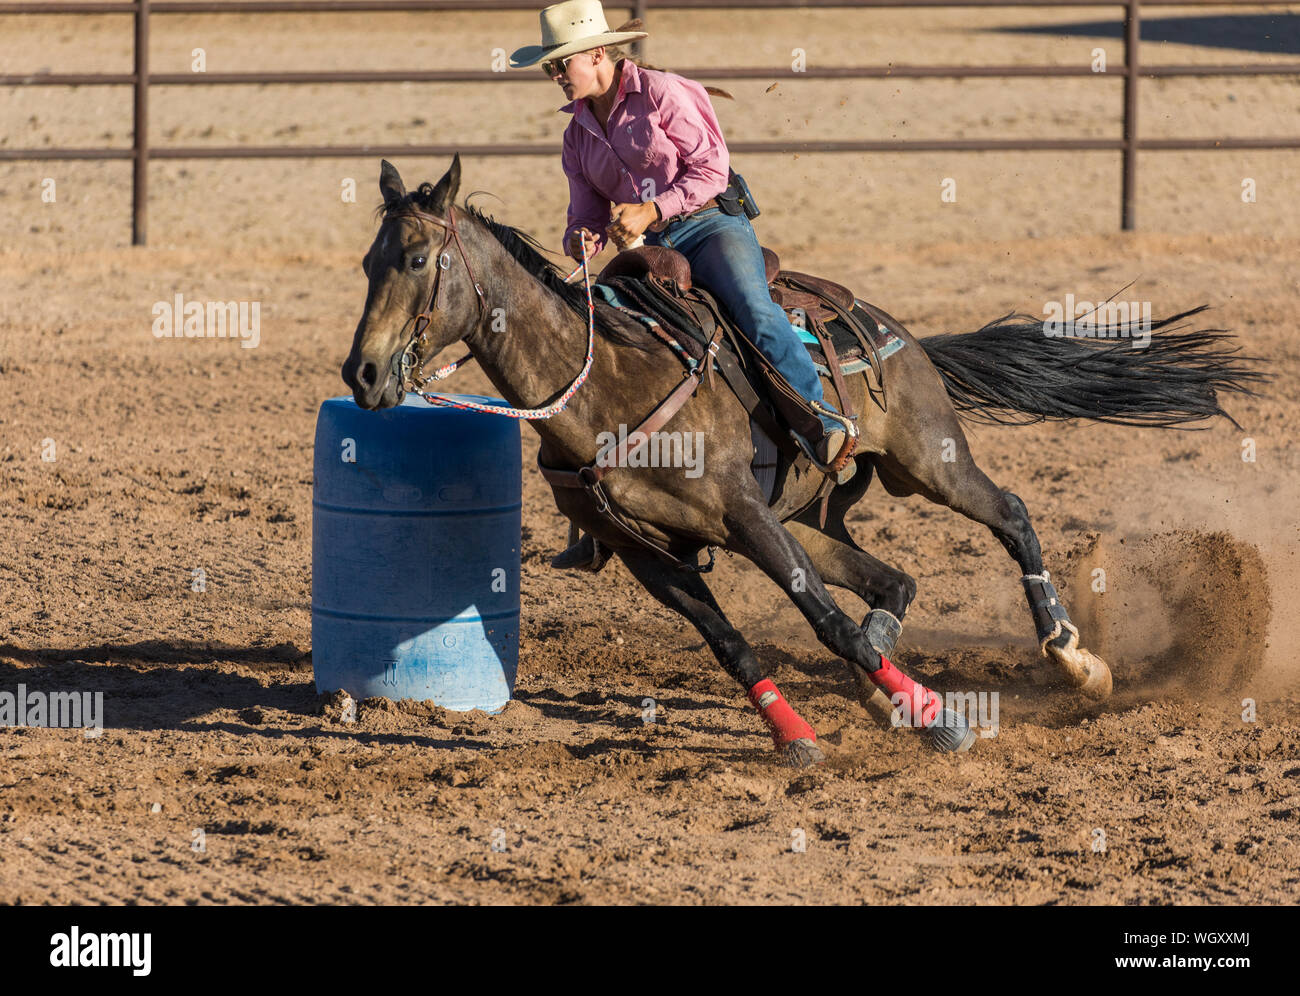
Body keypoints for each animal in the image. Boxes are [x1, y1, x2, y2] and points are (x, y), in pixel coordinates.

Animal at [340, 159, 1263, 769]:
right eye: (367, 262)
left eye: (418, 260)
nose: (364, 374)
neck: (608, 383)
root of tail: (894, 329)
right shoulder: (649, 553)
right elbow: (731, 644)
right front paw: (798, 736)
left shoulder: (741, 515)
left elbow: (822, 620)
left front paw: (939, 717)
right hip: (808, 516)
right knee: (892, 580)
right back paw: (884, 667)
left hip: (926, 460)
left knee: (1009, 515)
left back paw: (1073, 657)